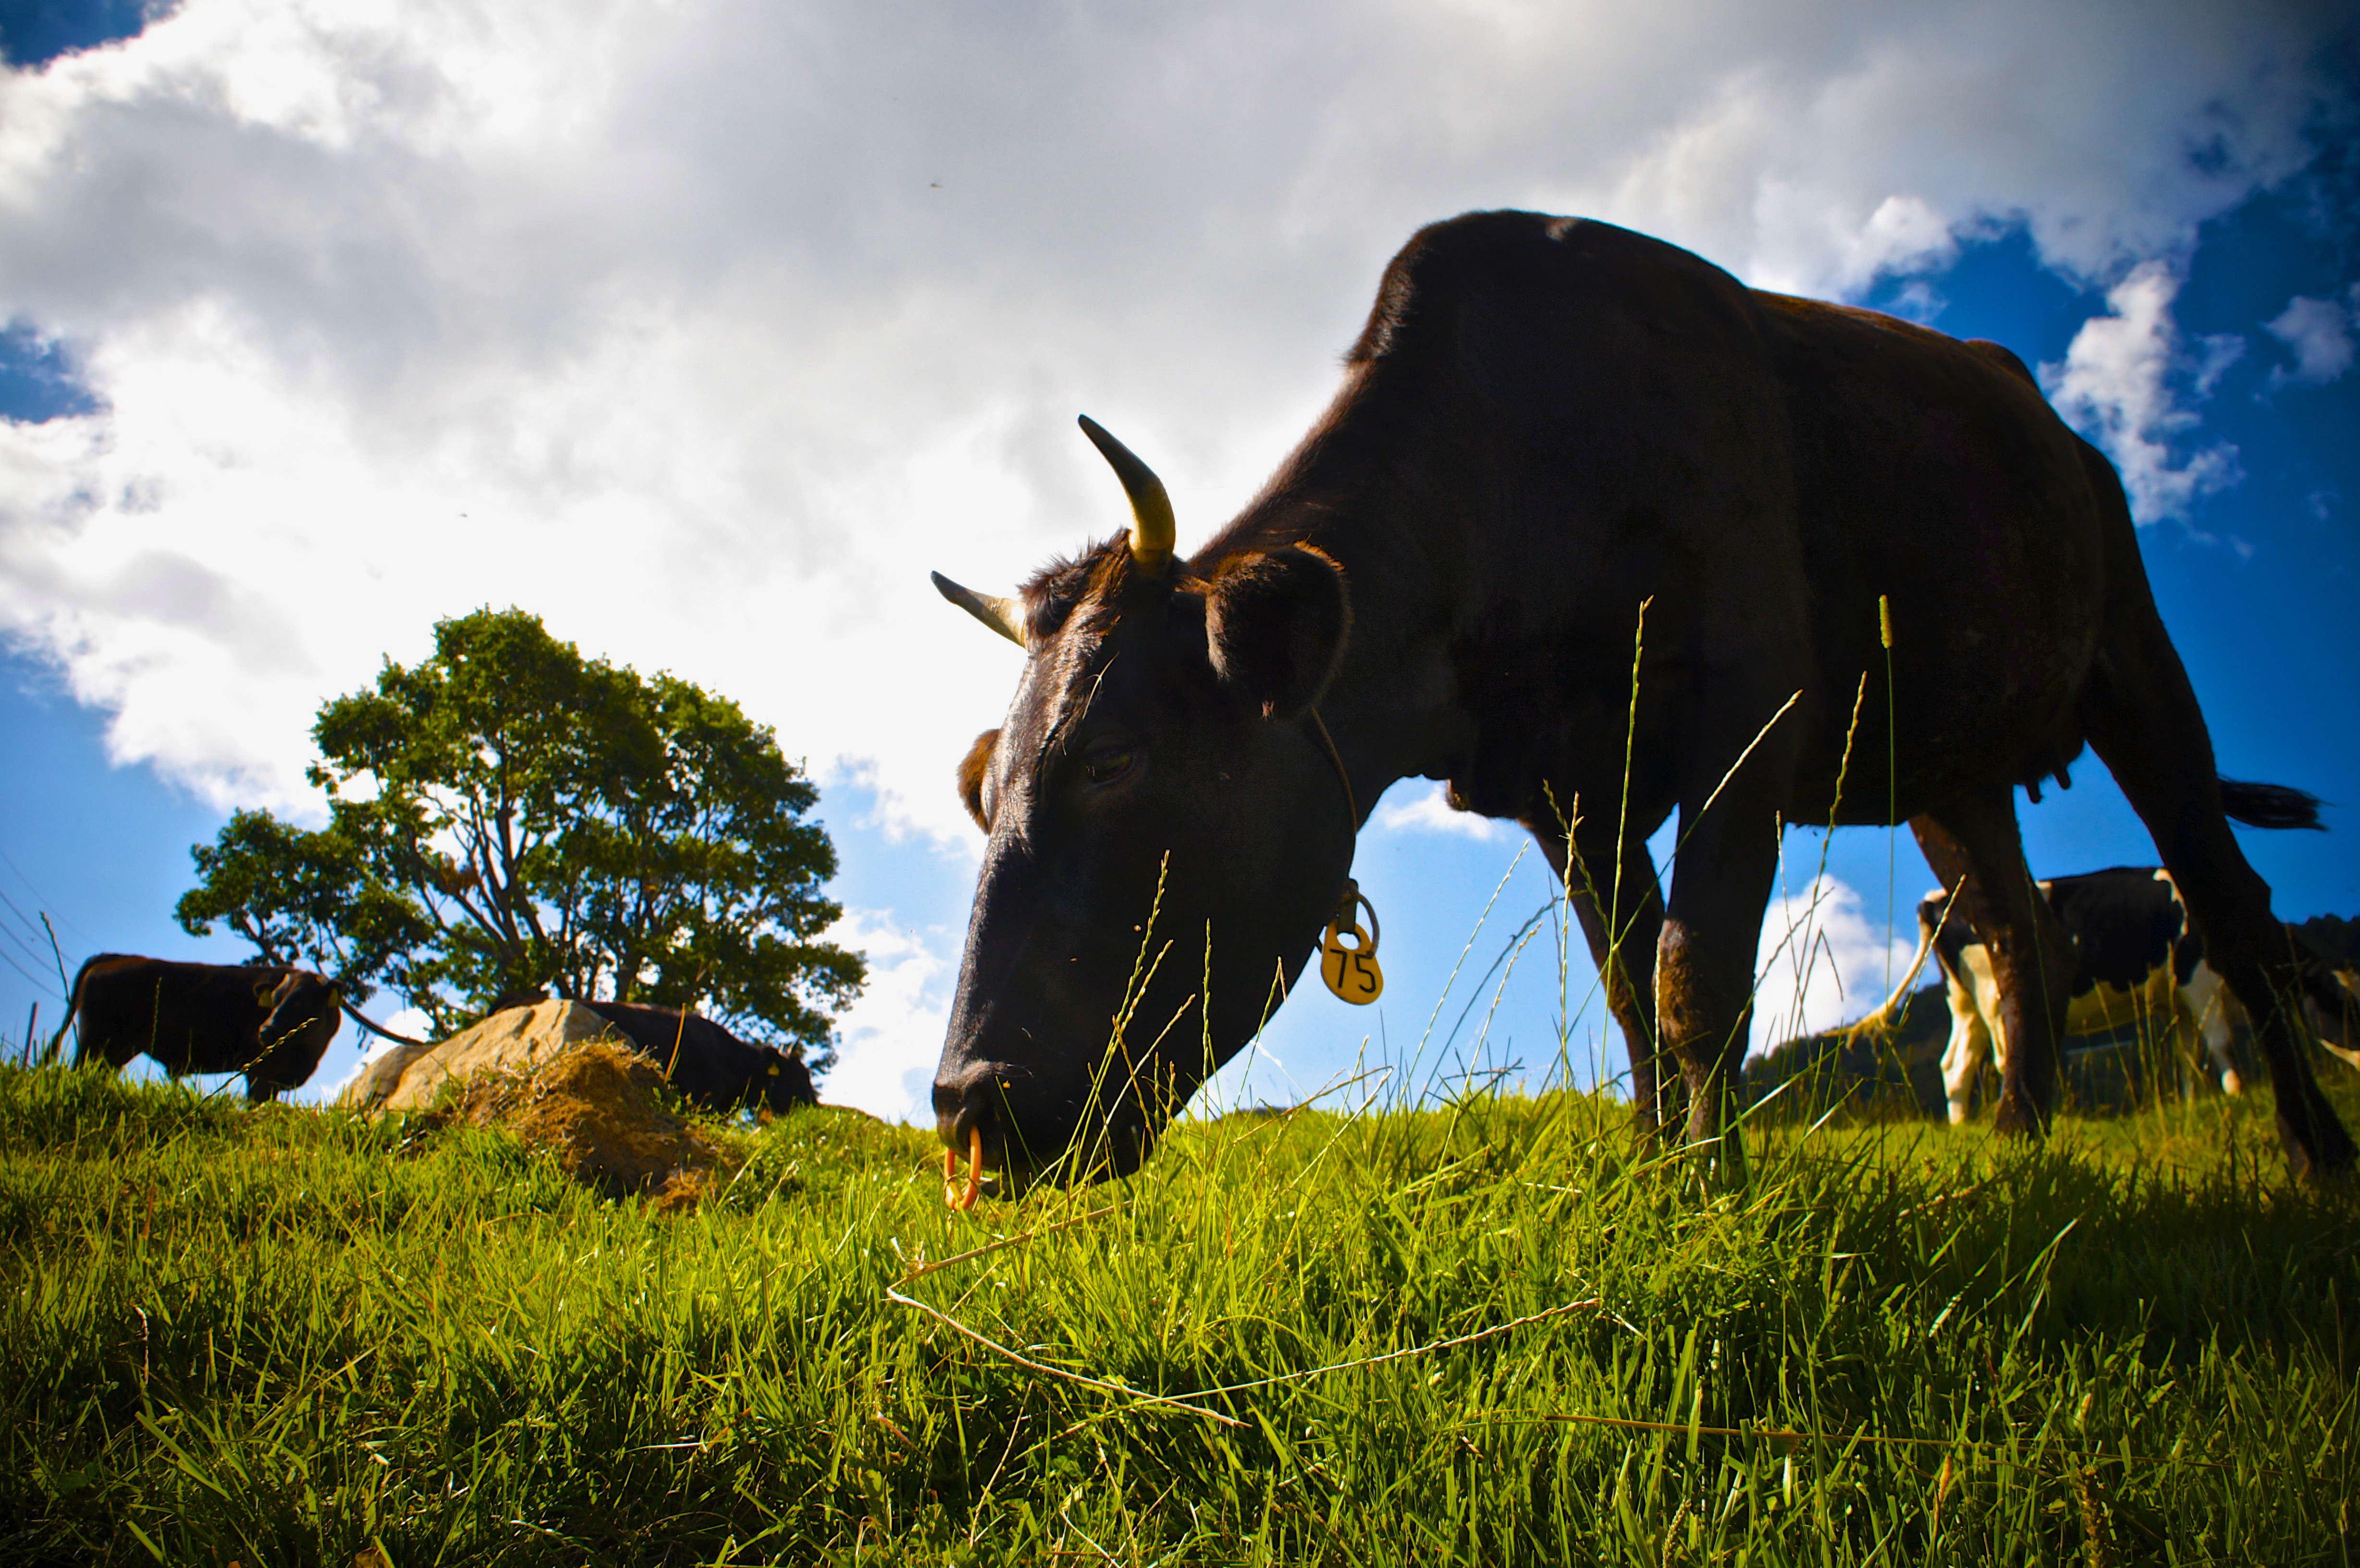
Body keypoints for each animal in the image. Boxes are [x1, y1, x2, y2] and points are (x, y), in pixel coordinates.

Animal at [48, 954, 342, 1100]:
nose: (265, 1030)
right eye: (276, 999)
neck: (306, 1056)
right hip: (94, 1041)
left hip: (116, 1050)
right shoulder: (260, 1072)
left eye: (300, 1000)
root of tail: (116, 957)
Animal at [1850, 864, 2350, 1119]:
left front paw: (2195, 1103)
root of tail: (1936, 898)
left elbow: (2190, 1055)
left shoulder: (2178, 1000)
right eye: (2352, 1011)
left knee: (1956, 1065)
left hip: (1965, 1000)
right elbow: (2222, 1042)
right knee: (2002, 1056)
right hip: (1993, 990)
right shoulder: (2198, 973)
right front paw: (2237, 1095)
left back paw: (1963, 1128)